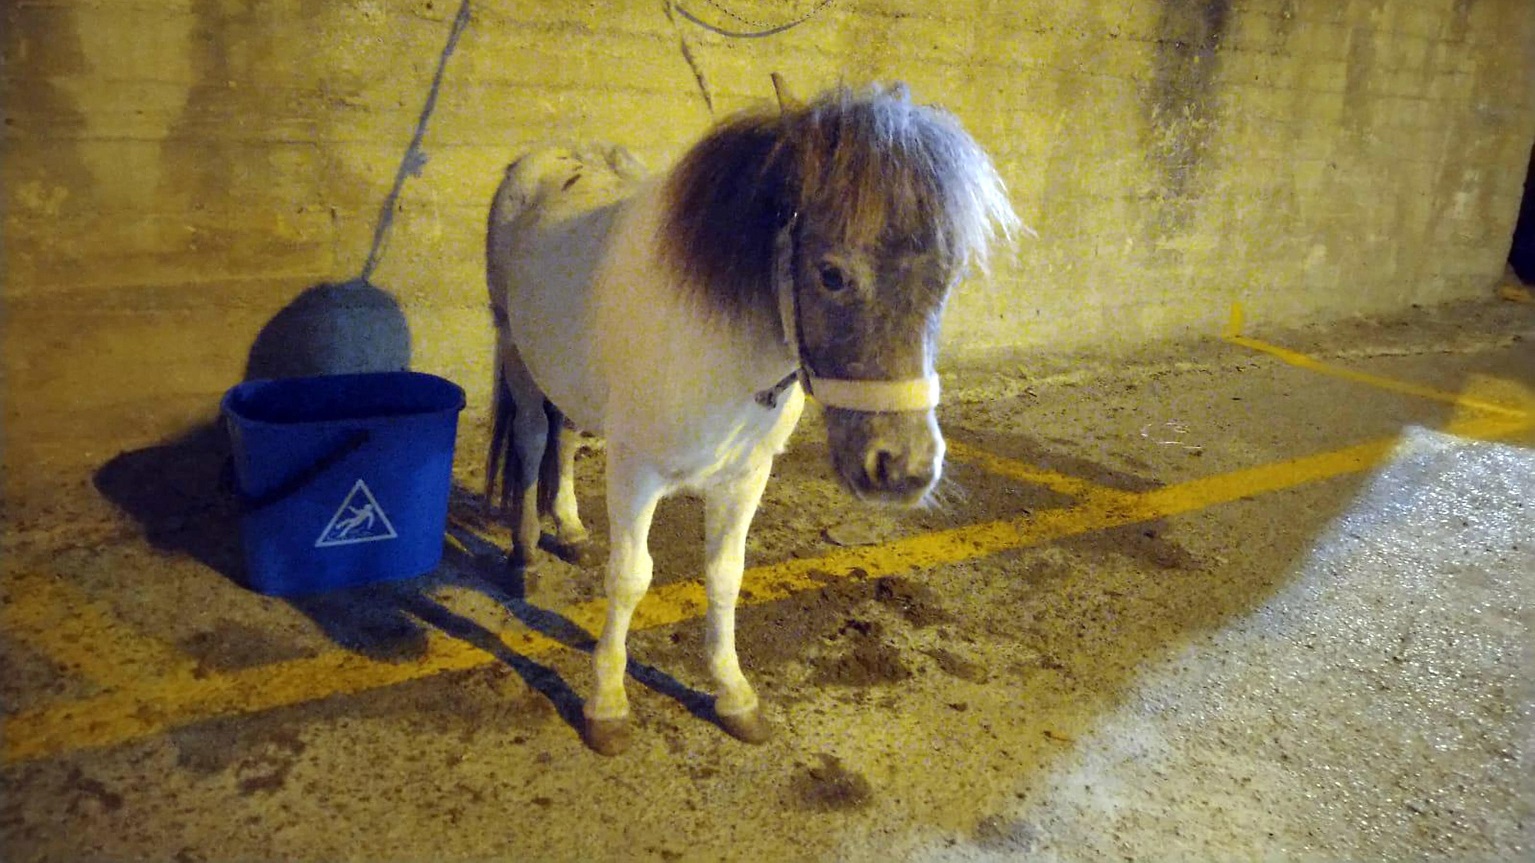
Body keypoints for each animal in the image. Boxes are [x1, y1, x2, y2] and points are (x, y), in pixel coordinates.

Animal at [485, 80, 1018, 755]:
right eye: (831, 274)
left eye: (948, 279)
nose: (904, 470)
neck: (720, 337)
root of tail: (540, 159)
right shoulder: (636, 473)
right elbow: (630, 578)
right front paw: (607, 706)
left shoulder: (745, 476)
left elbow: (724, 576)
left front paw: (733, 695)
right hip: (515, 350)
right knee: (533, 439)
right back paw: (526, 556)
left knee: (567, 439)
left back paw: (572, 529)